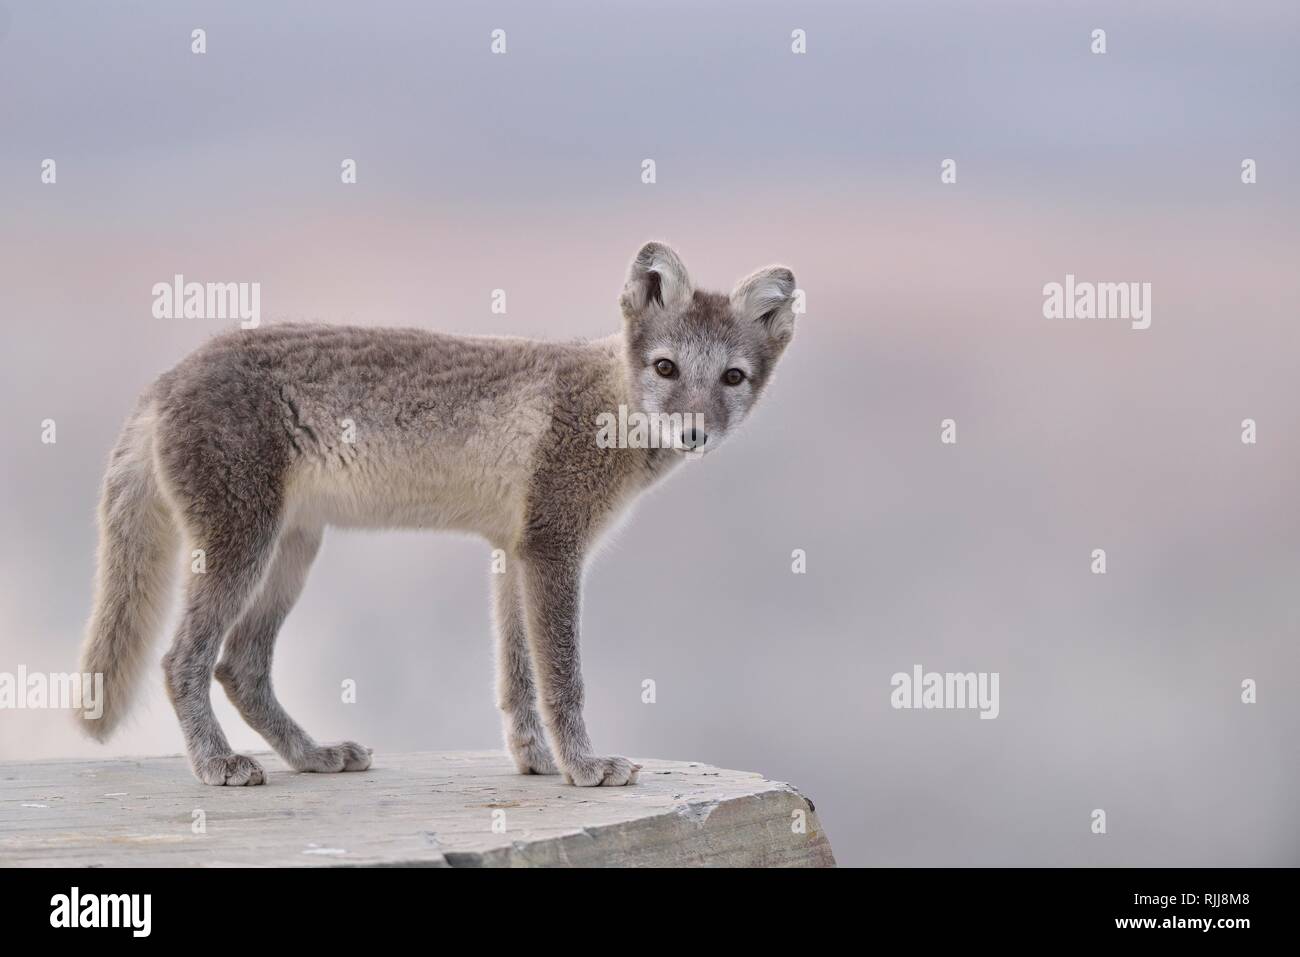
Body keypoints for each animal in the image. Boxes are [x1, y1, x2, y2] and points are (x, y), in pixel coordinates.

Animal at [78, 243, 800, 790]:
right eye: (666, 367)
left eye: (733, 377)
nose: (694, 433)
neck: (607, 403)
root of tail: (166, 379)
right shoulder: (553, 548)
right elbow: (562, 677)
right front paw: (585, 766)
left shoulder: (513, 551)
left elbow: (516, 676)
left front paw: (535, 760)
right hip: (242, 547)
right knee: (183, 659)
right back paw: (217, 763)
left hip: (292, 550)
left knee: (240, 666)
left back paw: (312, 756)